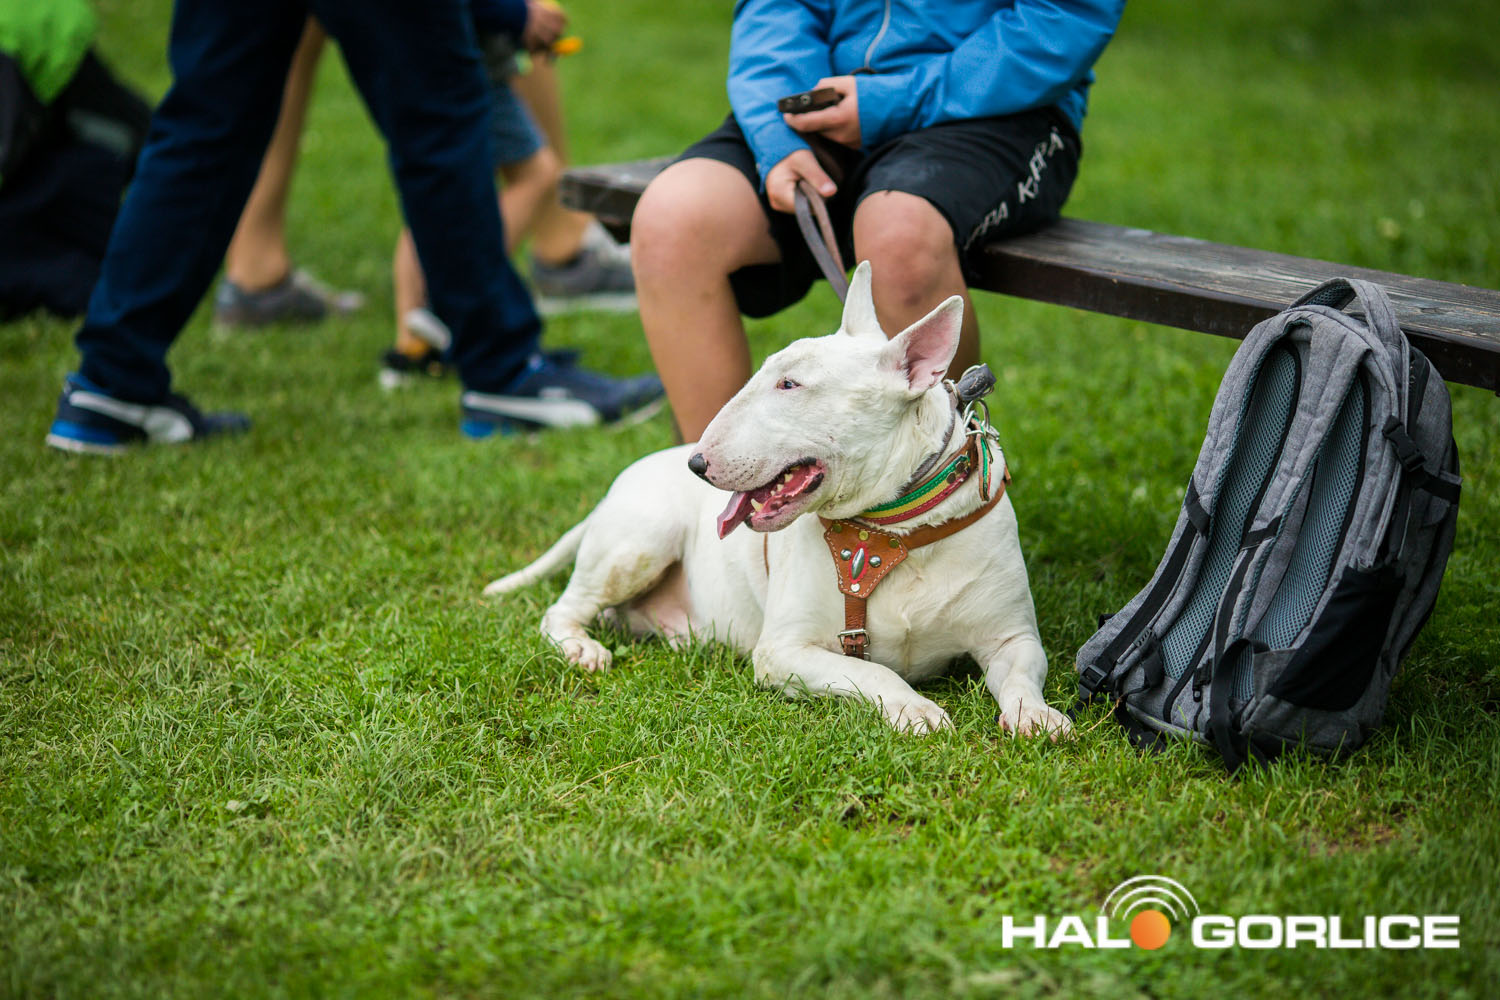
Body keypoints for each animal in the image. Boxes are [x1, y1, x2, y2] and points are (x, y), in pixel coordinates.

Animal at [485, 262, 1069, 737]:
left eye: (790, 385)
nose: (698, 464)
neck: (893, 532)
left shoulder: (1012, 637)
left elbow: (1021, 673)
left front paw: (1037, 716)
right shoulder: (786, 651)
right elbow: (871, 670)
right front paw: (915, 709)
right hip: (639, 541)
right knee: (562, 609)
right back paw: (580, 647)